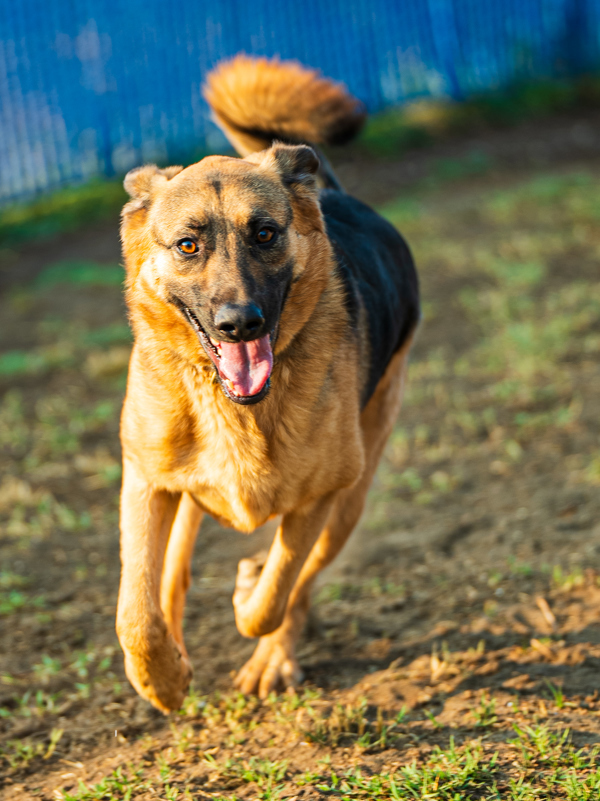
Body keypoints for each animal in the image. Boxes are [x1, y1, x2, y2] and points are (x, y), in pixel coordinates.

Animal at [116, 57, 418, 712]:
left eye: (263, 234)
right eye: (188, 245)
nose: (240, 323)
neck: (238, 407)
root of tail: (332, 191)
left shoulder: (318, 498)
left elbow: (274, 592)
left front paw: (253, 590)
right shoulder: (146, 482)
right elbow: (137, 613)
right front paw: (162, 680)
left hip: (350, 499)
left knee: (299, 583)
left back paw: (272, 656)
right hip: (182, 494)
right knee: (172, 575)